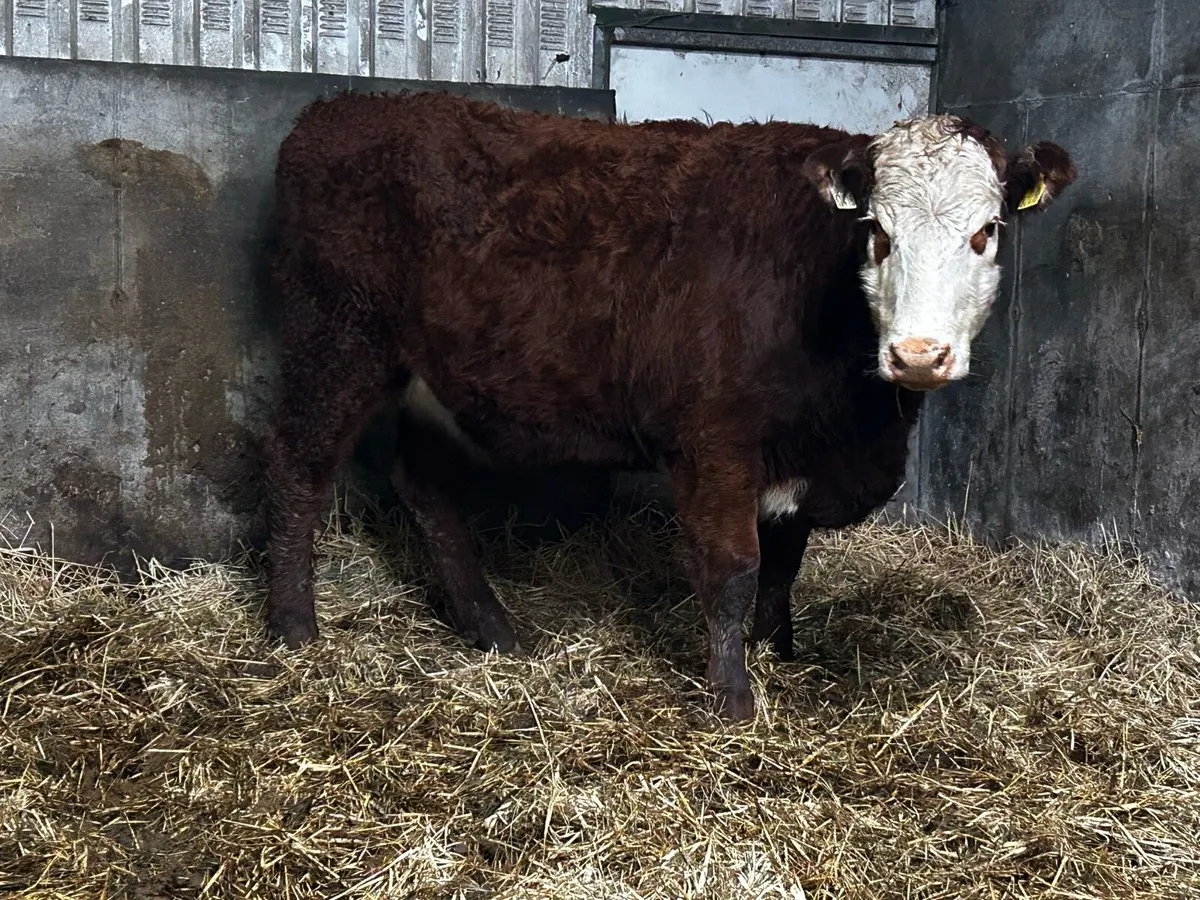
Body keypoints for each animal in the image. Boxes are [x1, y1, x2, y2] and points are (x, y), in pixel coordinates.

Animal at [262, 89, 1075, 720]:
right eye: (876, 230)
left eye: (986, 232)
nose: (917, 354)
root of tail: (338, 109)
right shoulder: (713, 438)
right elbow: (734, 567)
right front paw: (732, 700)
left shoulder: (798, 454)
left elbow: (785, 560)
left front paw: (777, 651)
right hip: (336, 339)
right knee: (296, 468)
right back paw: (293, 626)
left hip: (436, 380)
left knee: (424, 488)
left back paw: (496, 631)